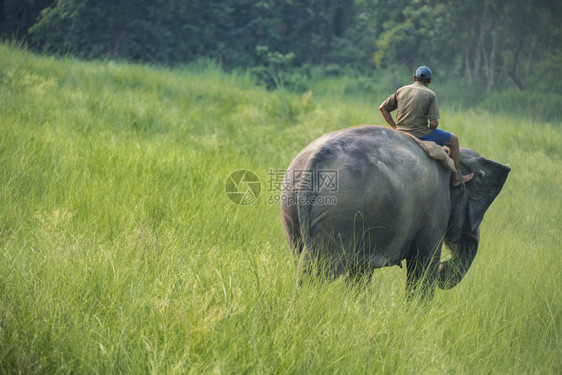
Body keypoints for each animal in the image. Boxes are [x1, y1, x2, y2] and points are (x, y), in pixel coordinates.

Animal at [280, 126, 508, 300]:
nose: (445, 270)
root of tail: (313, 163)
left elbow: (360, 273)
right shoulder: (434, 212)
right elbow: (424, 265)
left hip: (292, 207)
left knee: (301, 258)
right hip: (339, 217)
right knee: (318, 270)